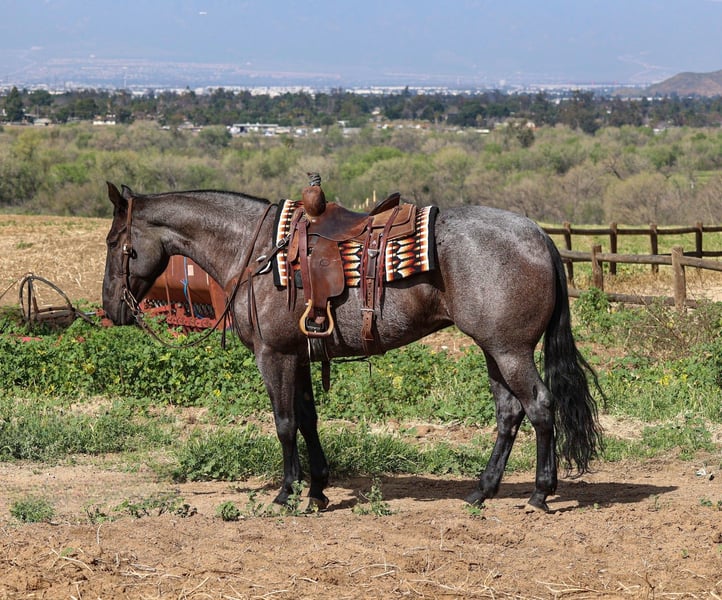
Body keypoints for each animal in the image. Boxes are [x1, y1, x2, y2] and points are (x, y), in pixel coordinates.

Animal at [102, 181, 603, 513]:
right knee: (509, 413)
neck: (254, 250)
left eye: (114, 243)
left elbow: (284, 423)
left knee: (540, 407)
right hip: (493, 350)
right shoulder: (300, 355)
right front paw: (317, 489)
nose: (111, 308)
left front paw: (287, 491)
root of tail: (540, 237)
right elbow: (307, 419)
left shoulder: (274, 355)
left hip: (510, 350)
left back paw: (540, 493)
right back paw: (482, 490)